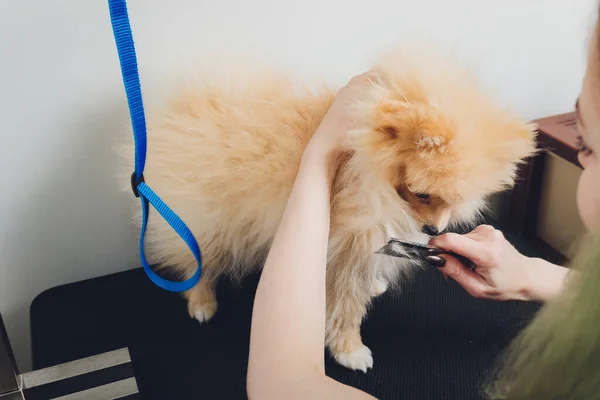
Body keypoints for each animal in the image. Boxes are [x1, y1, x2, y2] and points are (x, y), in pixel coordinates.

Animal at [119, 46, 536, 372]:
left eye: (454, 202)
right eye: (422, 194)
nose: (433, 232)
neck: (368, 174)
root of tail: (187, 105)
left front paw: (375, 286)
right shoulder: (348, 246)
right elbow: (348, 305)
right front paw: (350, 349)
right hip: (208, 219)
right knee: (198, 260)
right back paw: (202, 301)